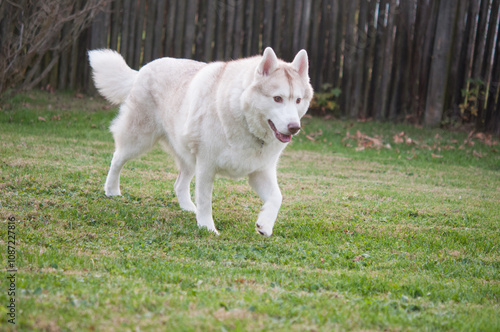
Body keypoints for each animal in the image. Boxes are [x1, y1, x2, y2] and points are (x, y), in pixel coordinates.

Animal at [88, 46, 310, 236]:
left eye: (298, 100)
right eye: (277, 98)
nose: (294, 127)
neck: (242, 116)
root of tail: (143, 69)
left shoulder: (260, 172)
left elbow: (277, 197)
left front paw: (265, 225)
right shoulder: (206, 166)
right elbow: (205, 200)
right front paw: (207, 228)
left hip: (187, 157)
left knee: (179, 184)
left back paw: (188, 208)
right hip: (138, 140)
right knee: (117, 159)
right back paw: (112, 190)